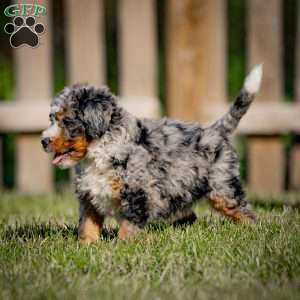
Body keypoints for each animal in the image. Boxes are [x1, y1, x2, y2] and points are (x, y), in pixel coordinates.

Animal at [41, 64, 262, 243]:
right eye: (52, 119)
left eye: (68, 121)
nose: (43, 141)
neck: (98, 153)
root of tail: (214, 131)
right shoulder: (89, 197)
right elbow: (87, 225)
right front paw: (86, 246)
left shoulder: (137, 194)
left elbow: (128, 227)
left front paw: (122, 248)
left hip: (223, 188)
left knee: (244, 212)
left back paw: (252, 231)